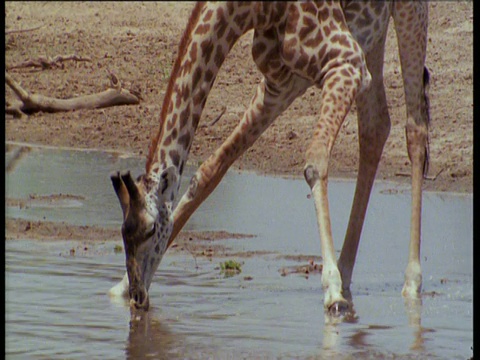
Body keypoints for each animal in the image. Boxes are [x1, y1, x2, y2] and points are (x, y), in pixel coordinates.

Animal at [110, 1, 430, 314]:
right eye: (124, 233)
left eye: (151, 229)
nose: (138, 296)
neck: (255, 11)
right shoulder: (280, 85)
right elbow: (210, 171)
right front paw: (119, 287)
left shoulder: (346, 63)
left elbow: (314, 162)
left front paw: (332, 291)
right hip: (373, 32)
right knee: (376, 126)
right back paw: (347, 271)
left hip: (408, 13)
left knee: (415, 128)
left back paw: (411, 281)